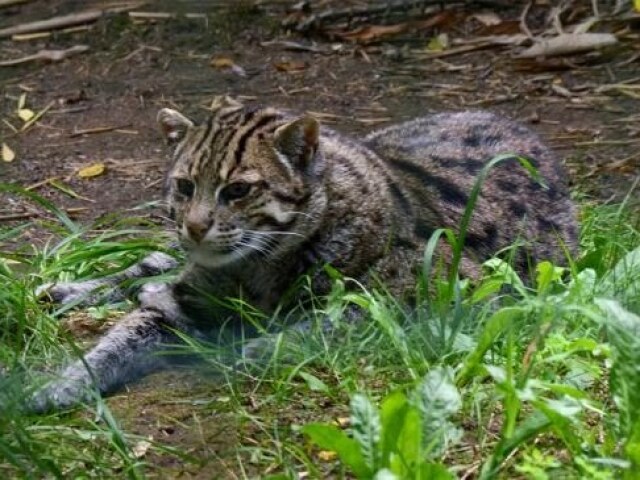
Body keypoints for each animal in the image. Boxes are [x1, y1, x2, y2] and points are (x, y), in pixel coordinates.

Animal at [32, 98, 576, 412]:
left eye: (238, 190)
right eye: (184, 186)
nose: (195, 226)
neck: (257, 264)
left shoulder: (448, 291)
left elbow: (339, 318)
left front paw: (262, 347)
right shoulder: (183, 299)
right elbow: (120, 337)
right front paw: (64, 380)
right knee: (150, 266)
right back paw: (75, 288)